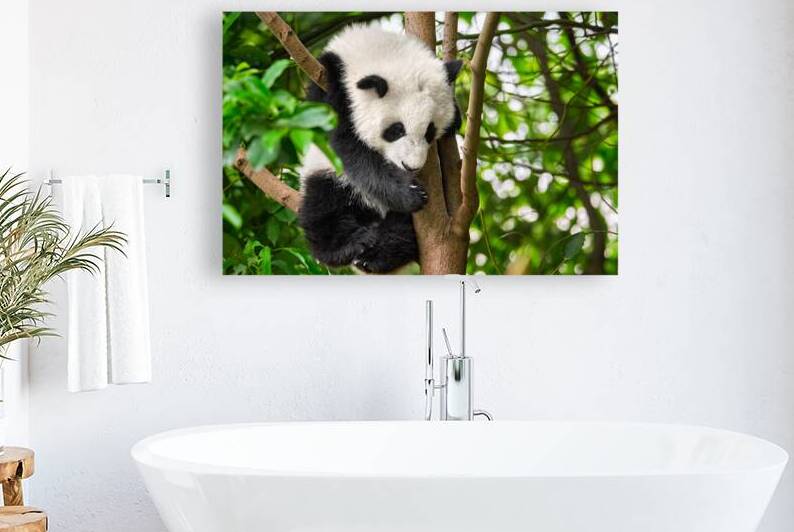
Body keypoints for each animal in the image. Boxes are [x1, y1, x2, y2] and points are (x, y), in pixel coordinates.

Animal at [298, 24, 462, 273]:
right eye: (396, 130)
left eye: (430, 131)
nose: (411, 166)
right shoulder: (329, 85)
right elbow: (352, 152)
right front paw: (410, 193)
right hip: (326, 178)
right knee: (323, 211)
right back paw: (353, 245)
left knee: (401, 229)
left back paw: (379, 253)